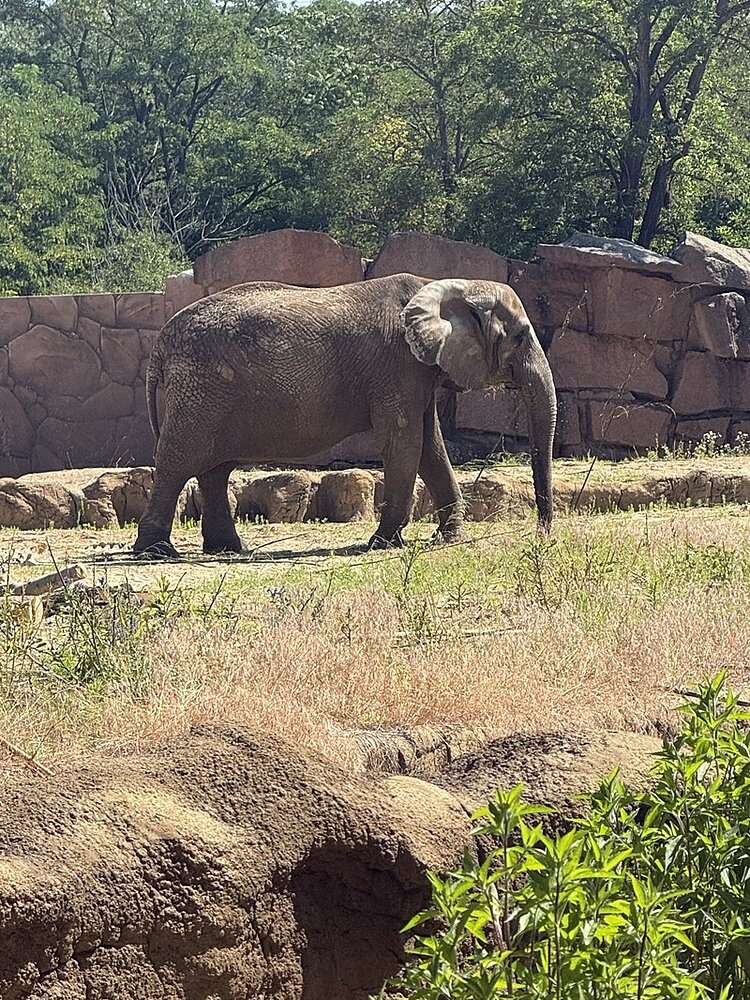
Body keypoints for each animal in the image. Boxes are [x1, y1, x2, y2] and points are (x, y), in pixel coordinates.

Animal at [133, 273, 556, 557]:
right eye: (520, 337)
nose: (543, 535)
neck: (445, 286)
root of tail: (161, 345)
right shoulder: (396, 365)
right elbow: (405, 442)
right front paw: (383, 543)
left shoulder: (417, 370)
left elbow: (431, 446)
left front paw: (447, 539)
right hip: (199, 389)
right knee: (179, 460)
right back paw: (156, 552)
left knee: (215, 469)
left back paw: (227, 550)